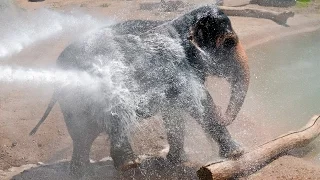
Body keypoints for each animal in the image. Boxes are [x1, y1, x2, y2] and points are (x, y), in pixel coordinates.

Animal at [29, 4, 250, 177]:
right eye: (230, 42)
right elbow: (201, 101)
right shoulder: (177, 66)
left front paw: (176, 160)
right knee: (114, 115)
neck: (180, 23)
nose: (225, 115)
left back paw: (83, 173)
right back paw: (128, 165)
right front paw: (238, 153)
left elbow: (174, 111)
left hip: (73, 103)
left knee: (83, 135)